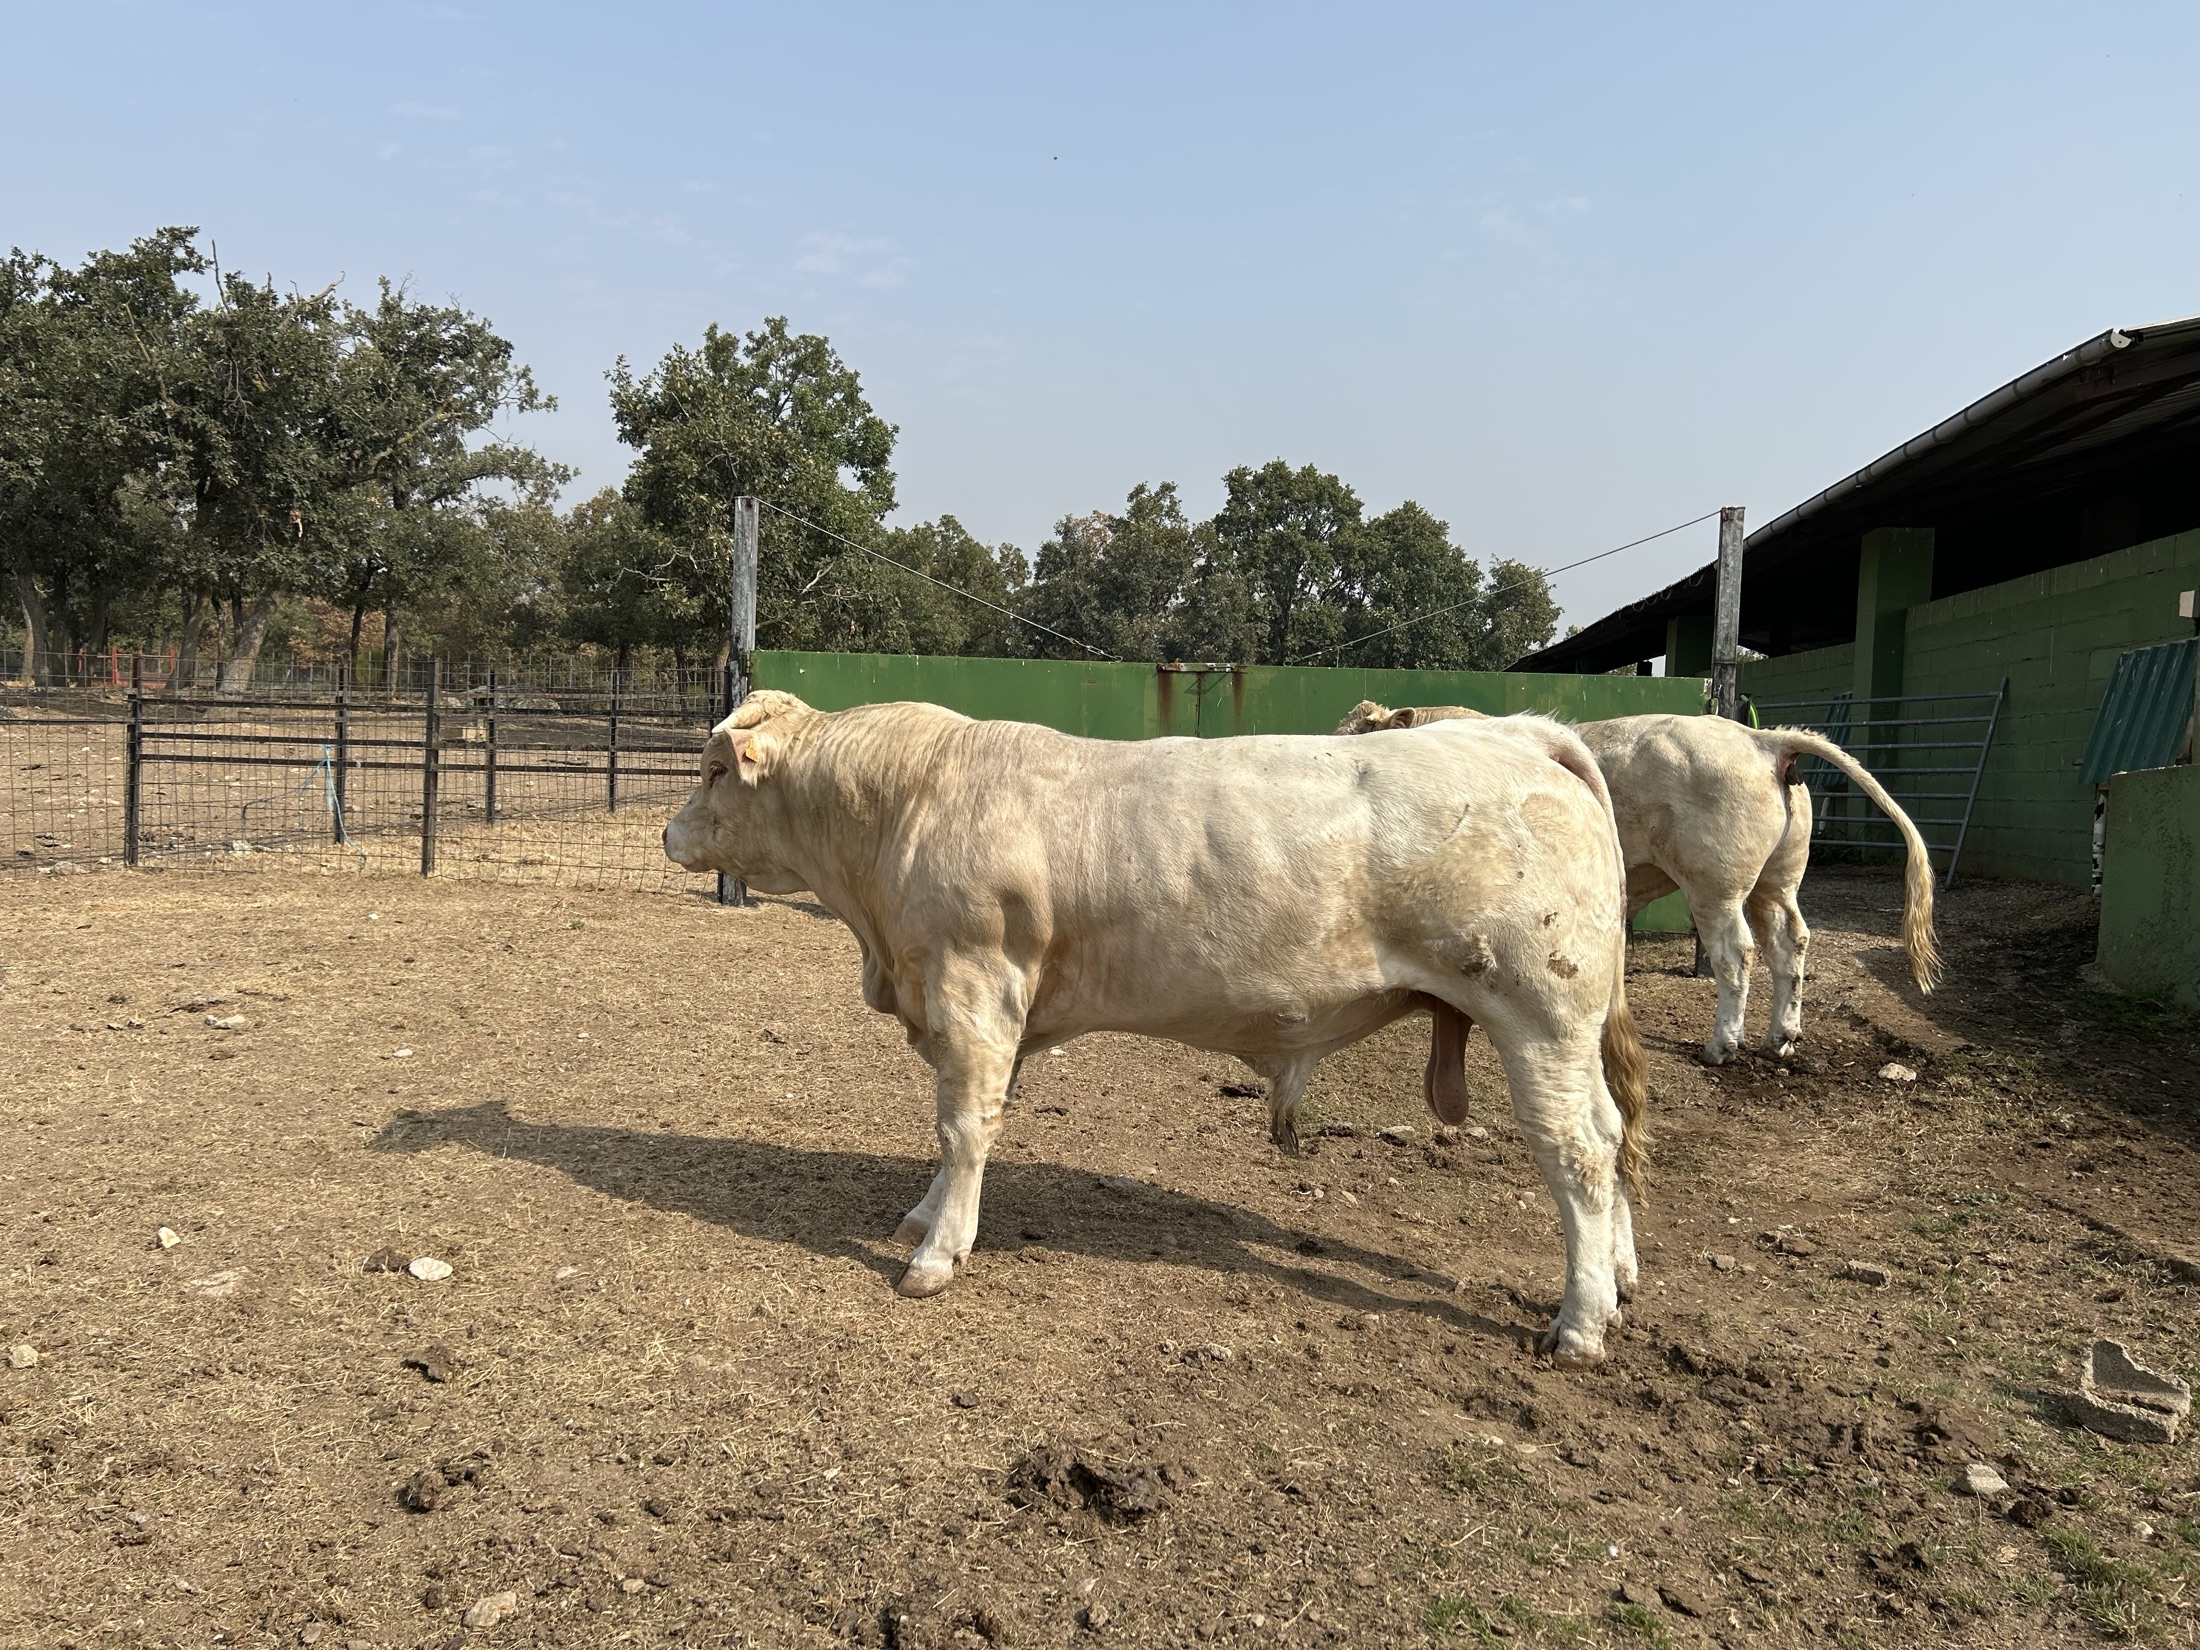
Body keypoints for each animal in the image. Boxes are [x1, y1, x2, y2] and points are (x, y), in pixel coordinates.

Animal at [665, 691, 1650, 1366]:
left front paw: (937, 1255)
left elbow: (964, 1125)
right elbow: (967, 1126)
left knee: (1579, 1150)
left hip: (1540, 1014)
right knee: (1612, 1134)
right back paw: (1615, 1281)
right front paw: (924, 1213)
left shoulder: (975, 984)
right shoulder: (985, 1009)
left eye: (713, 771)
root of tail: (1518, 732)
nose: (670, 834)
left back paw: (1578, 1322)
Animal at [1337, 702, 1941, 1063]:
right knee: (1790, 943)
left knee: (1736, 953)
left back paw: (1722, 1045)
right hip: (1776, 881)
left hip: (1715, 885)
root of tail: (1762, 739)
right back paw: (1782, 1037)